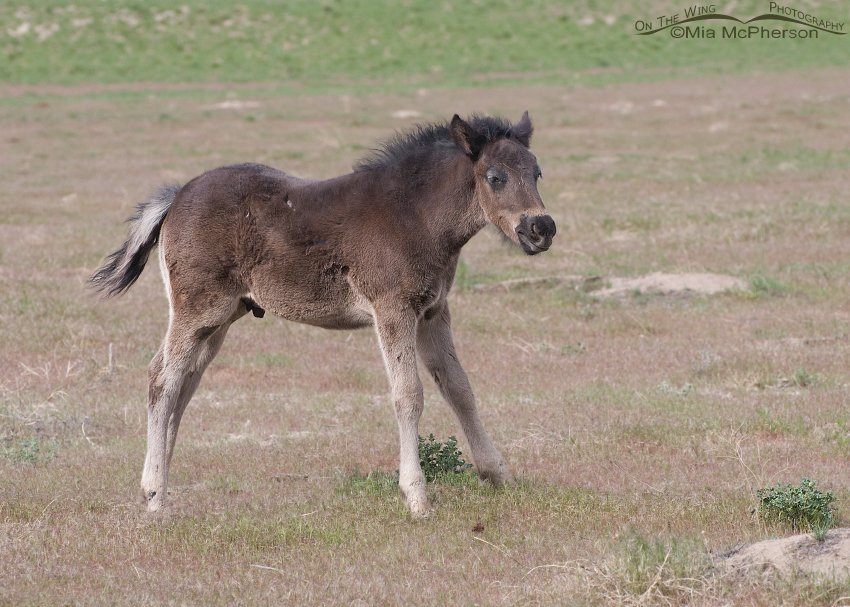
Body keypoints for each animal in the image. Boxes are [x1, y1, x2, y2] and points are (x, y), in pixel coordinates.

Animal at [90, 112, 556, 516]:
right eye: (495, 177)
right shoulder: (393, 309)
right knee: (162, 378)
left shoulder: (433, 312)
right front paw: (416, 497)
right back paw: (154, 495)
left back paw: (160, 491)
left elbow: (459, 388)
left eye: (536, 173)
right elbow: (408, 395)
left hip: (220, 319)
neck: (415, 215)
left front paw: (499, 476)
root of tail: (176, 197)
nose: (541, 228)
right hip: (197, 309)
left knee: (183, 386)